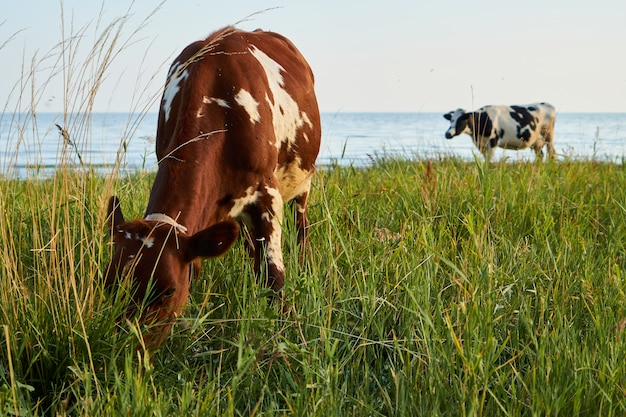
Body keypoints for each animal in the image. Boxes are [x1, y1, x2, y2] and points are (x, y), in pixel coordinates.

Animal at [105, 26, 320, 348]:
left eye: (168, 290)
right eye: (109, 285)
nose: (128, 348)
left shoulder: (267, 192)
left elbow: (273, 276)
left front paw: (284, 334)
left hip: (302, 180)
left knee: (301, 229)